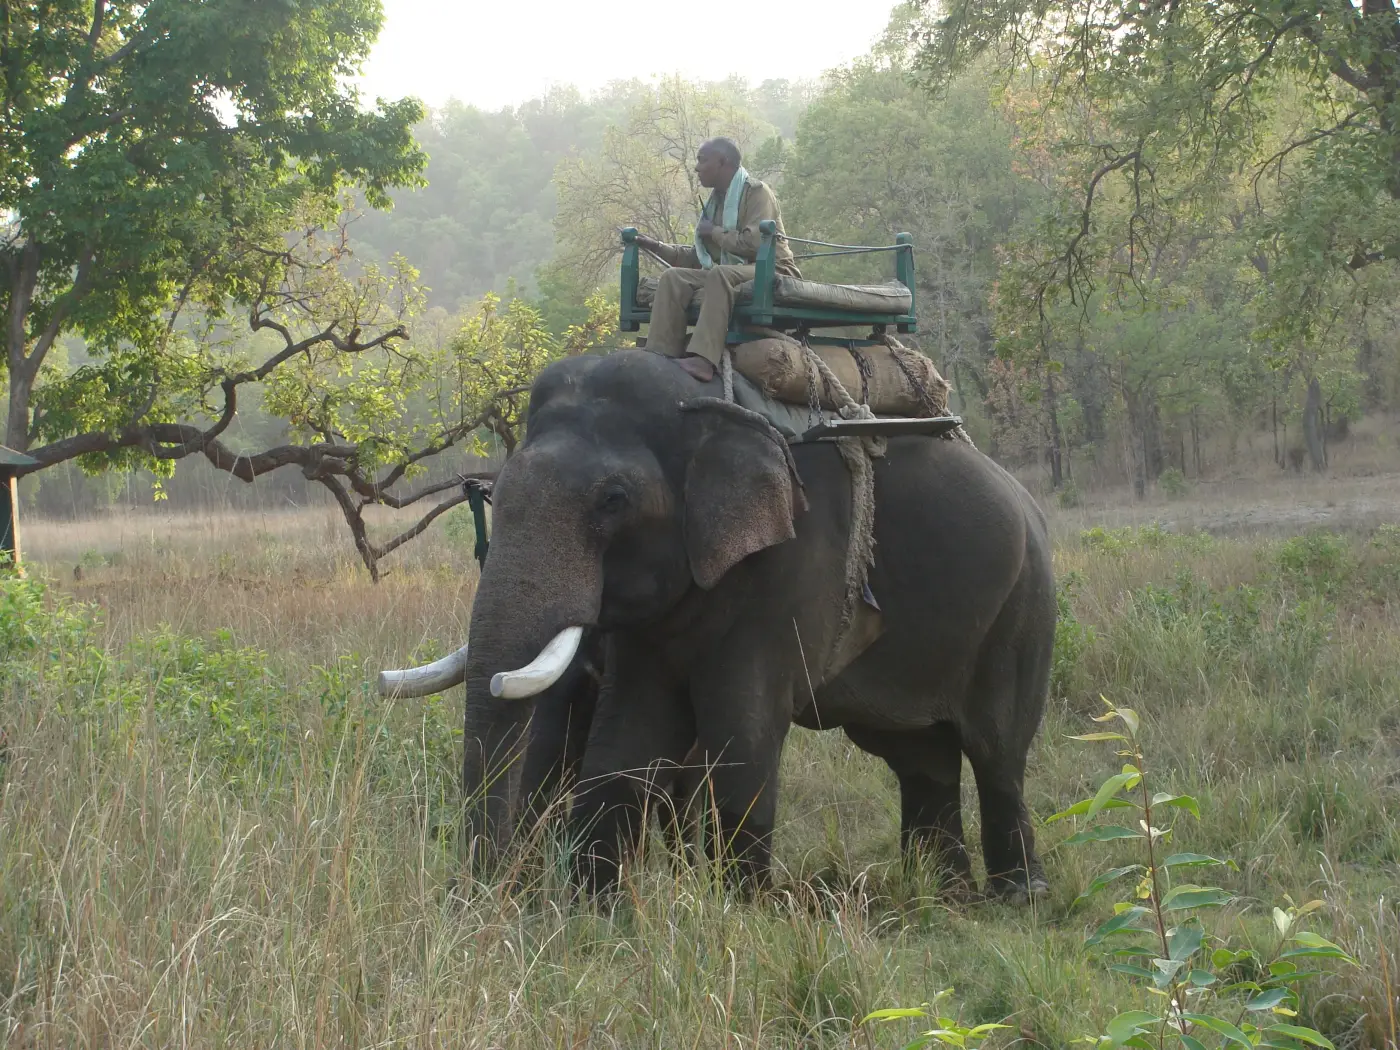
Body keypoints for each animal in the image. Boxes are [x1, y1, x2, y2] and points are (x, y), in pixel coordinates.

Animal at [382, 348, 1056, 899]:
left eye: (613, 501)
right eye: (491, 498)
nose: (475, 902)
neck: (701, 401)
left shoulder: (792, 565)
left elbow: (741, 734)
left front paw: (744, 912)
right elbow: (624, 742)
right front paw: (598, 918)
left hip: (1024, 606)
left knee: (996, 749)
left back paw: (1017, 897)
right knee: (920, 755)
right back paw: (943, 895)